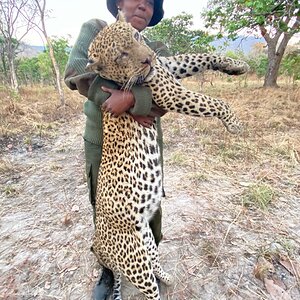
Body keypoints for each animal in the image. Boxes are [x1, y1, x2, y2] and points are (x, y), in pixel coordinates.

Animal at [85, 12, 248, 300]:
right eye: (121, 55)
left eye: (136, 36)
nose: (148, 58)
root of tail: (99, 245)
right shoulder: (170, 92)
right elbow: (214, 102)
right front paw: (234, 124)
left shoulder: (168, 65)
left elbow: (200, 56)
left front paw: (236, 66)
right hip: (134, 260)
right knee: (149, 288)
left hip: (146, 240)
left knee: (155, 261)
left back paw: (169, 277)